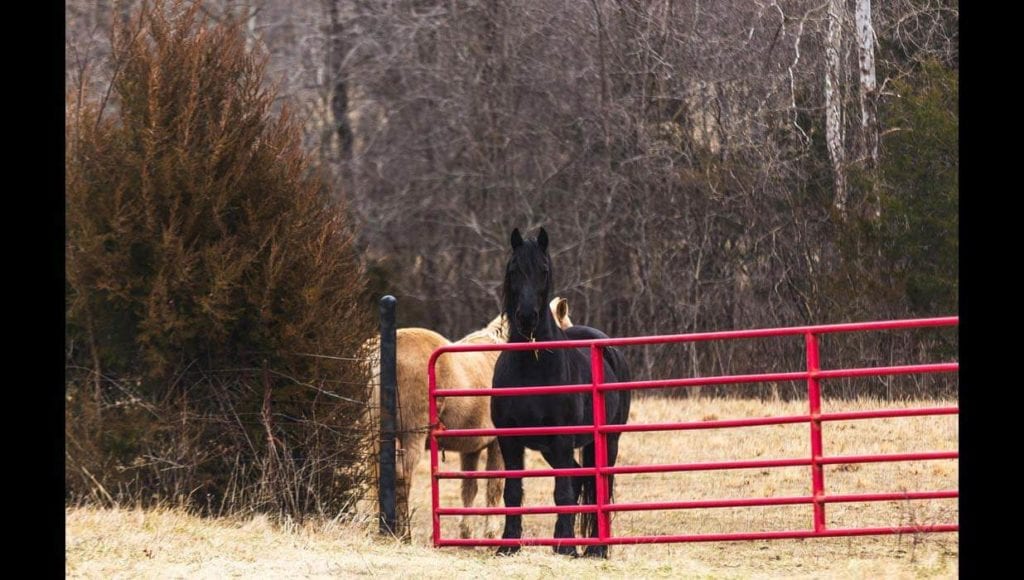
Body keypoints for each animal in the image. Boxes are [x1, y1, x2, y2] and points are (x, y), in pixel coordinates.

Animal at [364, 299, 573, 541]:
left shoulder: (471, 449)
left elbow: (469, 488)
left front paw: (466, 535)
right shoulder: (499, 445)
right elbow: (495, 486)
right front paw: (491, 535)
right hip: (411, 437)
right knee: (402, 477)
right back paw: (403, 533)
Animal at [489, 228, 626, 557]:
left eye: (544, 270)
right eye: (513, 270)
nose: (527, 317)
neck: (533, 365)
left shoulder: (562, 438)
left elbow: (562, 491)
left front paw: (566, 547)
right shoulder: (510, 441)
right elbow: (513, 492)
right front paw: (508, 545)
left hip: (608, 440)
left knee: (597, 485)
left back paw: (596, 549)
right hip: (551, 449)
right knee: (579, 478)